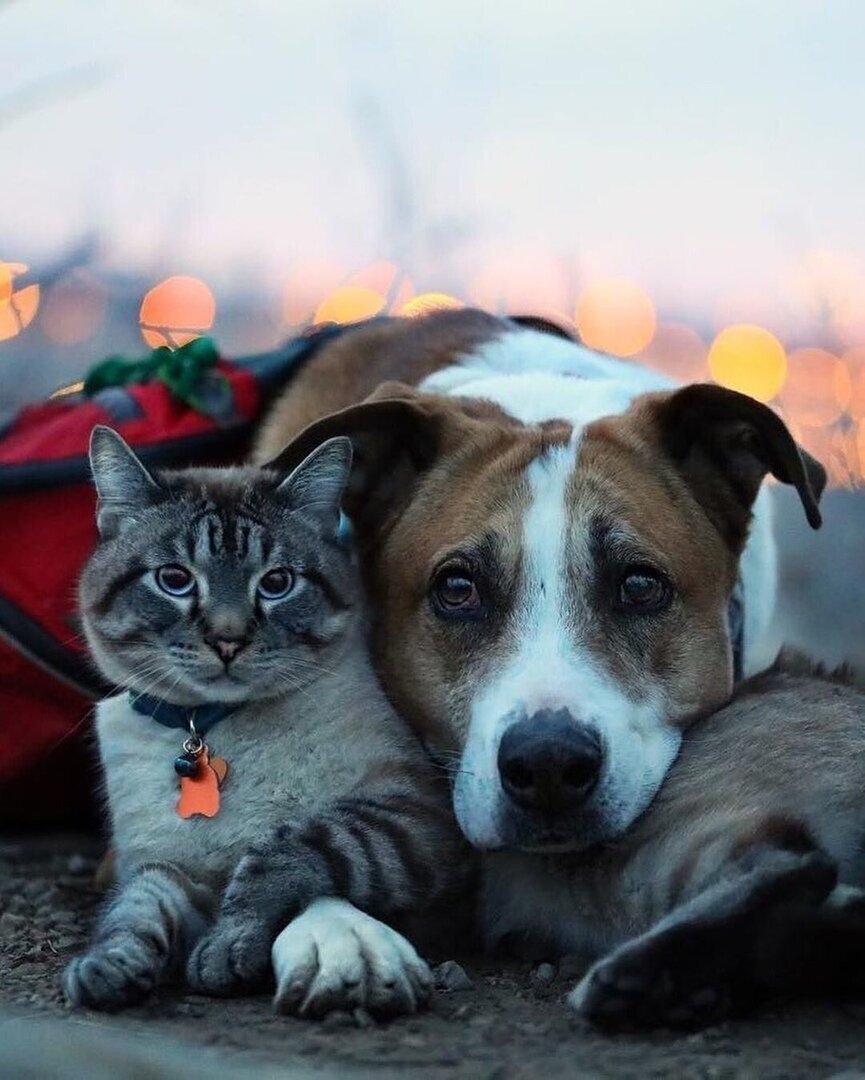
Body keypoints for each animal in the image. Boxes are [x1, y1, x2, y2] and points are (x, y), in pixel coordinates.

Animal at [64, 426, 472, 1016]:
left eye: (276, 582)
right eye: (174, 580)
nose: (228, 639)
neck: (209, 728)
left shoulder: (414, 812)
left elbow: (287, 850)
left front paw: (225, 949)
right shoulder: (169, 869)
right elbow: (134, 912)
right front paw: (106, 971)